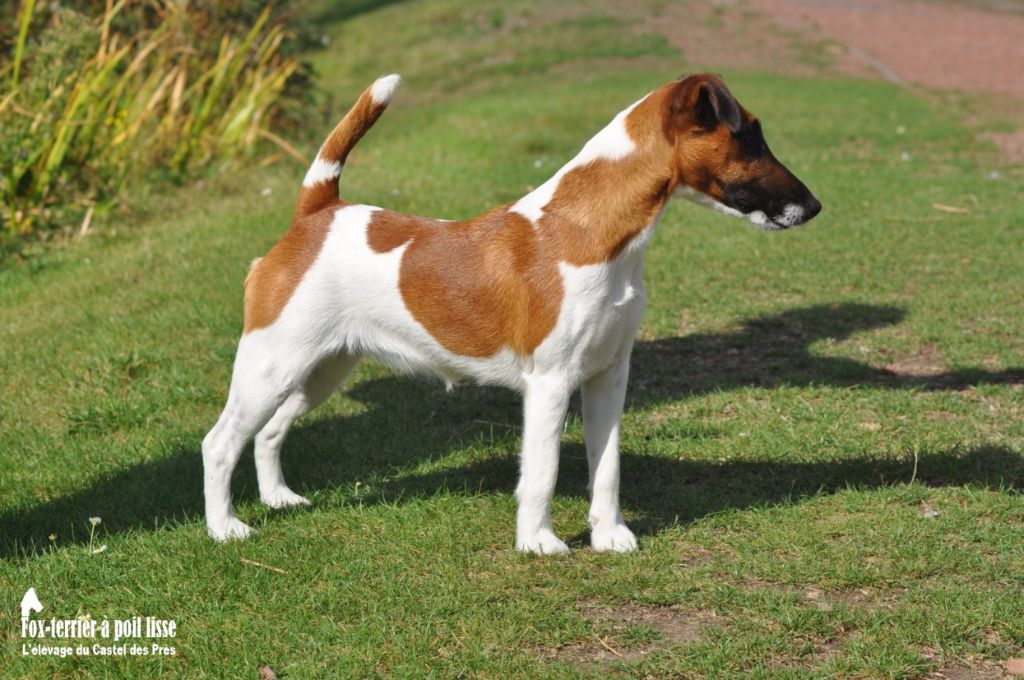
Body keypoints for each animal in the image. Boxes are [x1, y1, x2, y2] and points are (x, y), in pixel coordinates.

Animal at [203, 73, 819, 553]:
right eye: (750, 136)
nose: (814, 206)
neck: (589, 230)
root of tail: (317, 213)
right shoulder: (551, 382)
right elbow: (542, 471)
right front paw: (539, 542)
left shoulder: (608, 377)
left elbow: (608, 467)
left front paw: (608, 536)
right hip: (271, 366)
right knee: (220, 443)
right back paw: (225, 528)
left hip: (320, 371)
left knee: (269, 432)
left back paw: (279, 499)